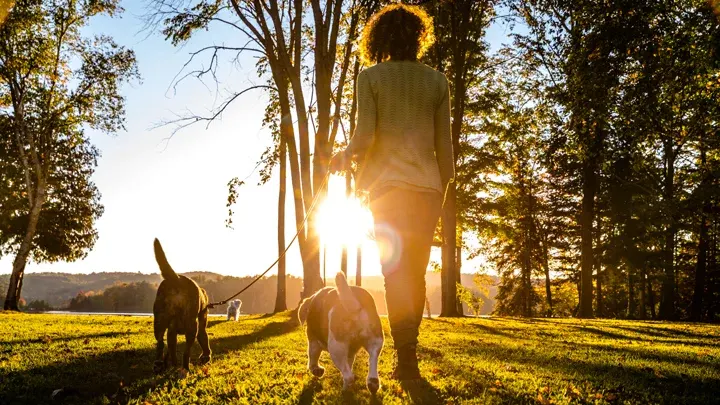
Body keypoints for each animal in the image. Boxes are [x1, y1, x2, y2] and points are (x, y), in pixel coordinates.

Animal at [150, 237, 210, 372]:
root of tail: (176, 278)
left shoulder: (171, 330)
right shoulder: (201, 325)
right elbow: (203, 338)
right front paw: (206, 355)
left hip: (160, 321)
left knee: (161, 344)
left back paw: (160, 364)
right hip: (192, 326)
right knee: (186, 353)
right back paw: (186, 369)